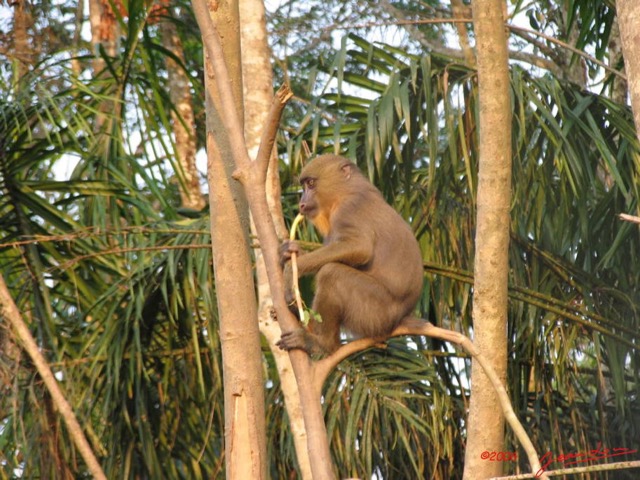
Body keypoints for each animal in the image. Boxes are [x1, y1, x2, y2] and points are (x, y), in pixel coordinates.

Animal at [276, 156, 422, 354]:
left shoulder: (350, 208)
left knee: (331, 273)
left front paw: (291, 270)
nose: (302, 204)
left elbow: (360, 248)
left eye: (311, 184)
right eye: (304, 185)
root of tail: (400, 319)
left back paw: (321, 343)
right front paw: (290, 251)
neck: (346, 191)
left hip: (374, 313)